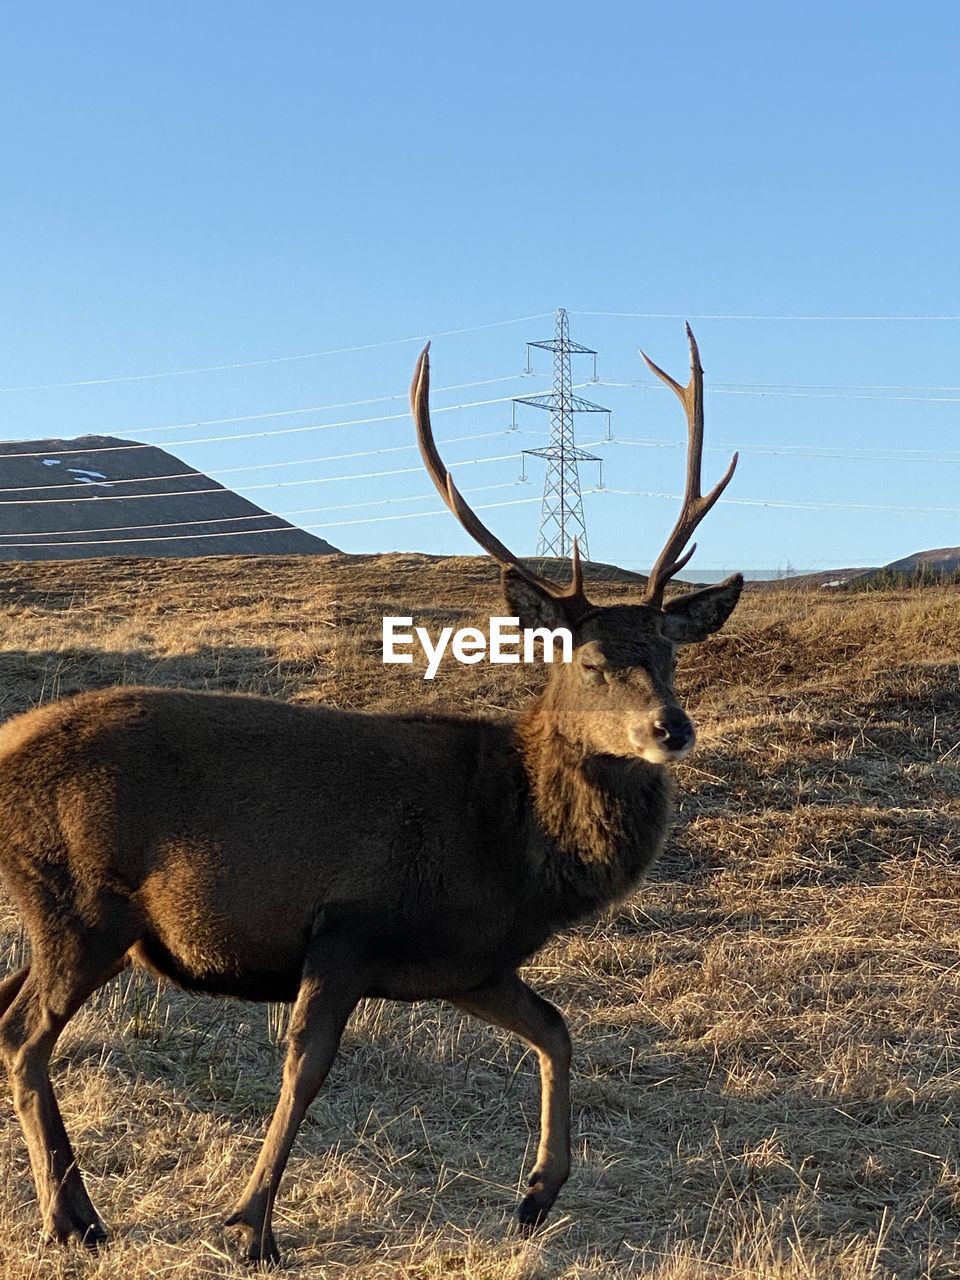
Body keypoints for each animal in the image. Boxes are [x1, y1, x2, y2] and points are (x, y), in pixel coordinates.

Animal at [0, 325, 742, 1264]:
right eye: (592, 661)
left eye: (671, 653)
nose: (671, 727)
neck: (510, 844)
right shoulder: (346, 928)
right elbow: (305, 1070)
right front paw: (249, 1226)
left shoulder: (464, 960)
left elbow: (556, 1027)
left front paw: (537, 1194)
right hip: (82, 900)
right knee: (24, 1035)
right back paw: (73, 1217)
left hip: (75, 918)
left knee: (5, 1010)